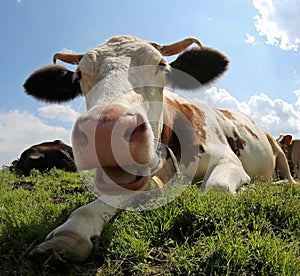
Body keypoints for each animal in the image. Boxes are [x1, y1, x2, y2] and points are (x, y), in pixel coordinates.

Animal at [23, 35, 296, 262]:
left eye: (162, 65)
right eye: (79, 74)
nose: (104, 130)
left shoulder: (228, 160)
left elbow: (216, 188)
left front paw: (248, 189)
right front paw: (71, 232)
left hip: (278, 147)